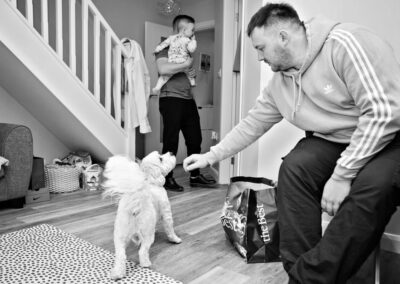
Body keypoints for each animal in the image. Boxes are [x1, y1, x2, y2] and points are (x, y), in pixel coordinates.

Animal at [101, 151, 182, 280]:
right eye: (160, 158)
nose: (171, 152)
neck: (150, 182)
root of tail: (136, 202)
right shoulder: (166, 212)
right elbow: (170, 228)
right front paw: (175, 239)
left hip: (120, 234)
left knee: (121, 255)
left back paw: (118, 273)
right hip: (147, 232)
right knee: (142, 251)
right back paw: (145, 263)